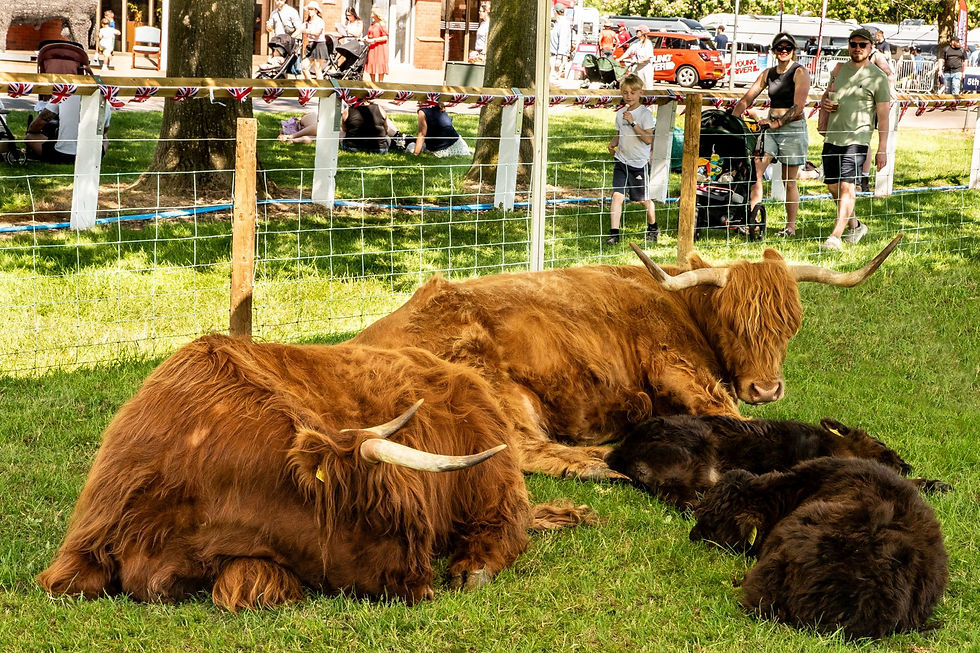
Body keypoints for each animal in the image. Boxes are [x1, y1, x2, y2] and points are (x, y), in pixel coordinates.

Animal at [37, 335, 595, 611]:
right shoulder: (84, 545)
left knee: (506, 525)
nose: (422, 589)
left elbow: (239, 588)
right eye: (384, 522)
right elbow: (72, 584)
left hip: (490, 478)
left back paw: (470, 568)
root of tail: (463, 373)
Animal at [352, 236, 903, 480]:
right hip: (488, 380)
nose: (766, 389)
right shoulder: (675, 366)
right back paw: (613, 462)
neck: (681, 304)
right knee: (522, 449)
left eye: (791, 325)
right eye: (733, 323)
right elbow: (736, 419)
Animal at [606, 415, 951, 510]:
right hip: (693, 458)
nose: (905, 464)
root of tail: (621, 453)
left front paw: (938, 484)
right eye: (880, 443)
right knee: (680, 497)